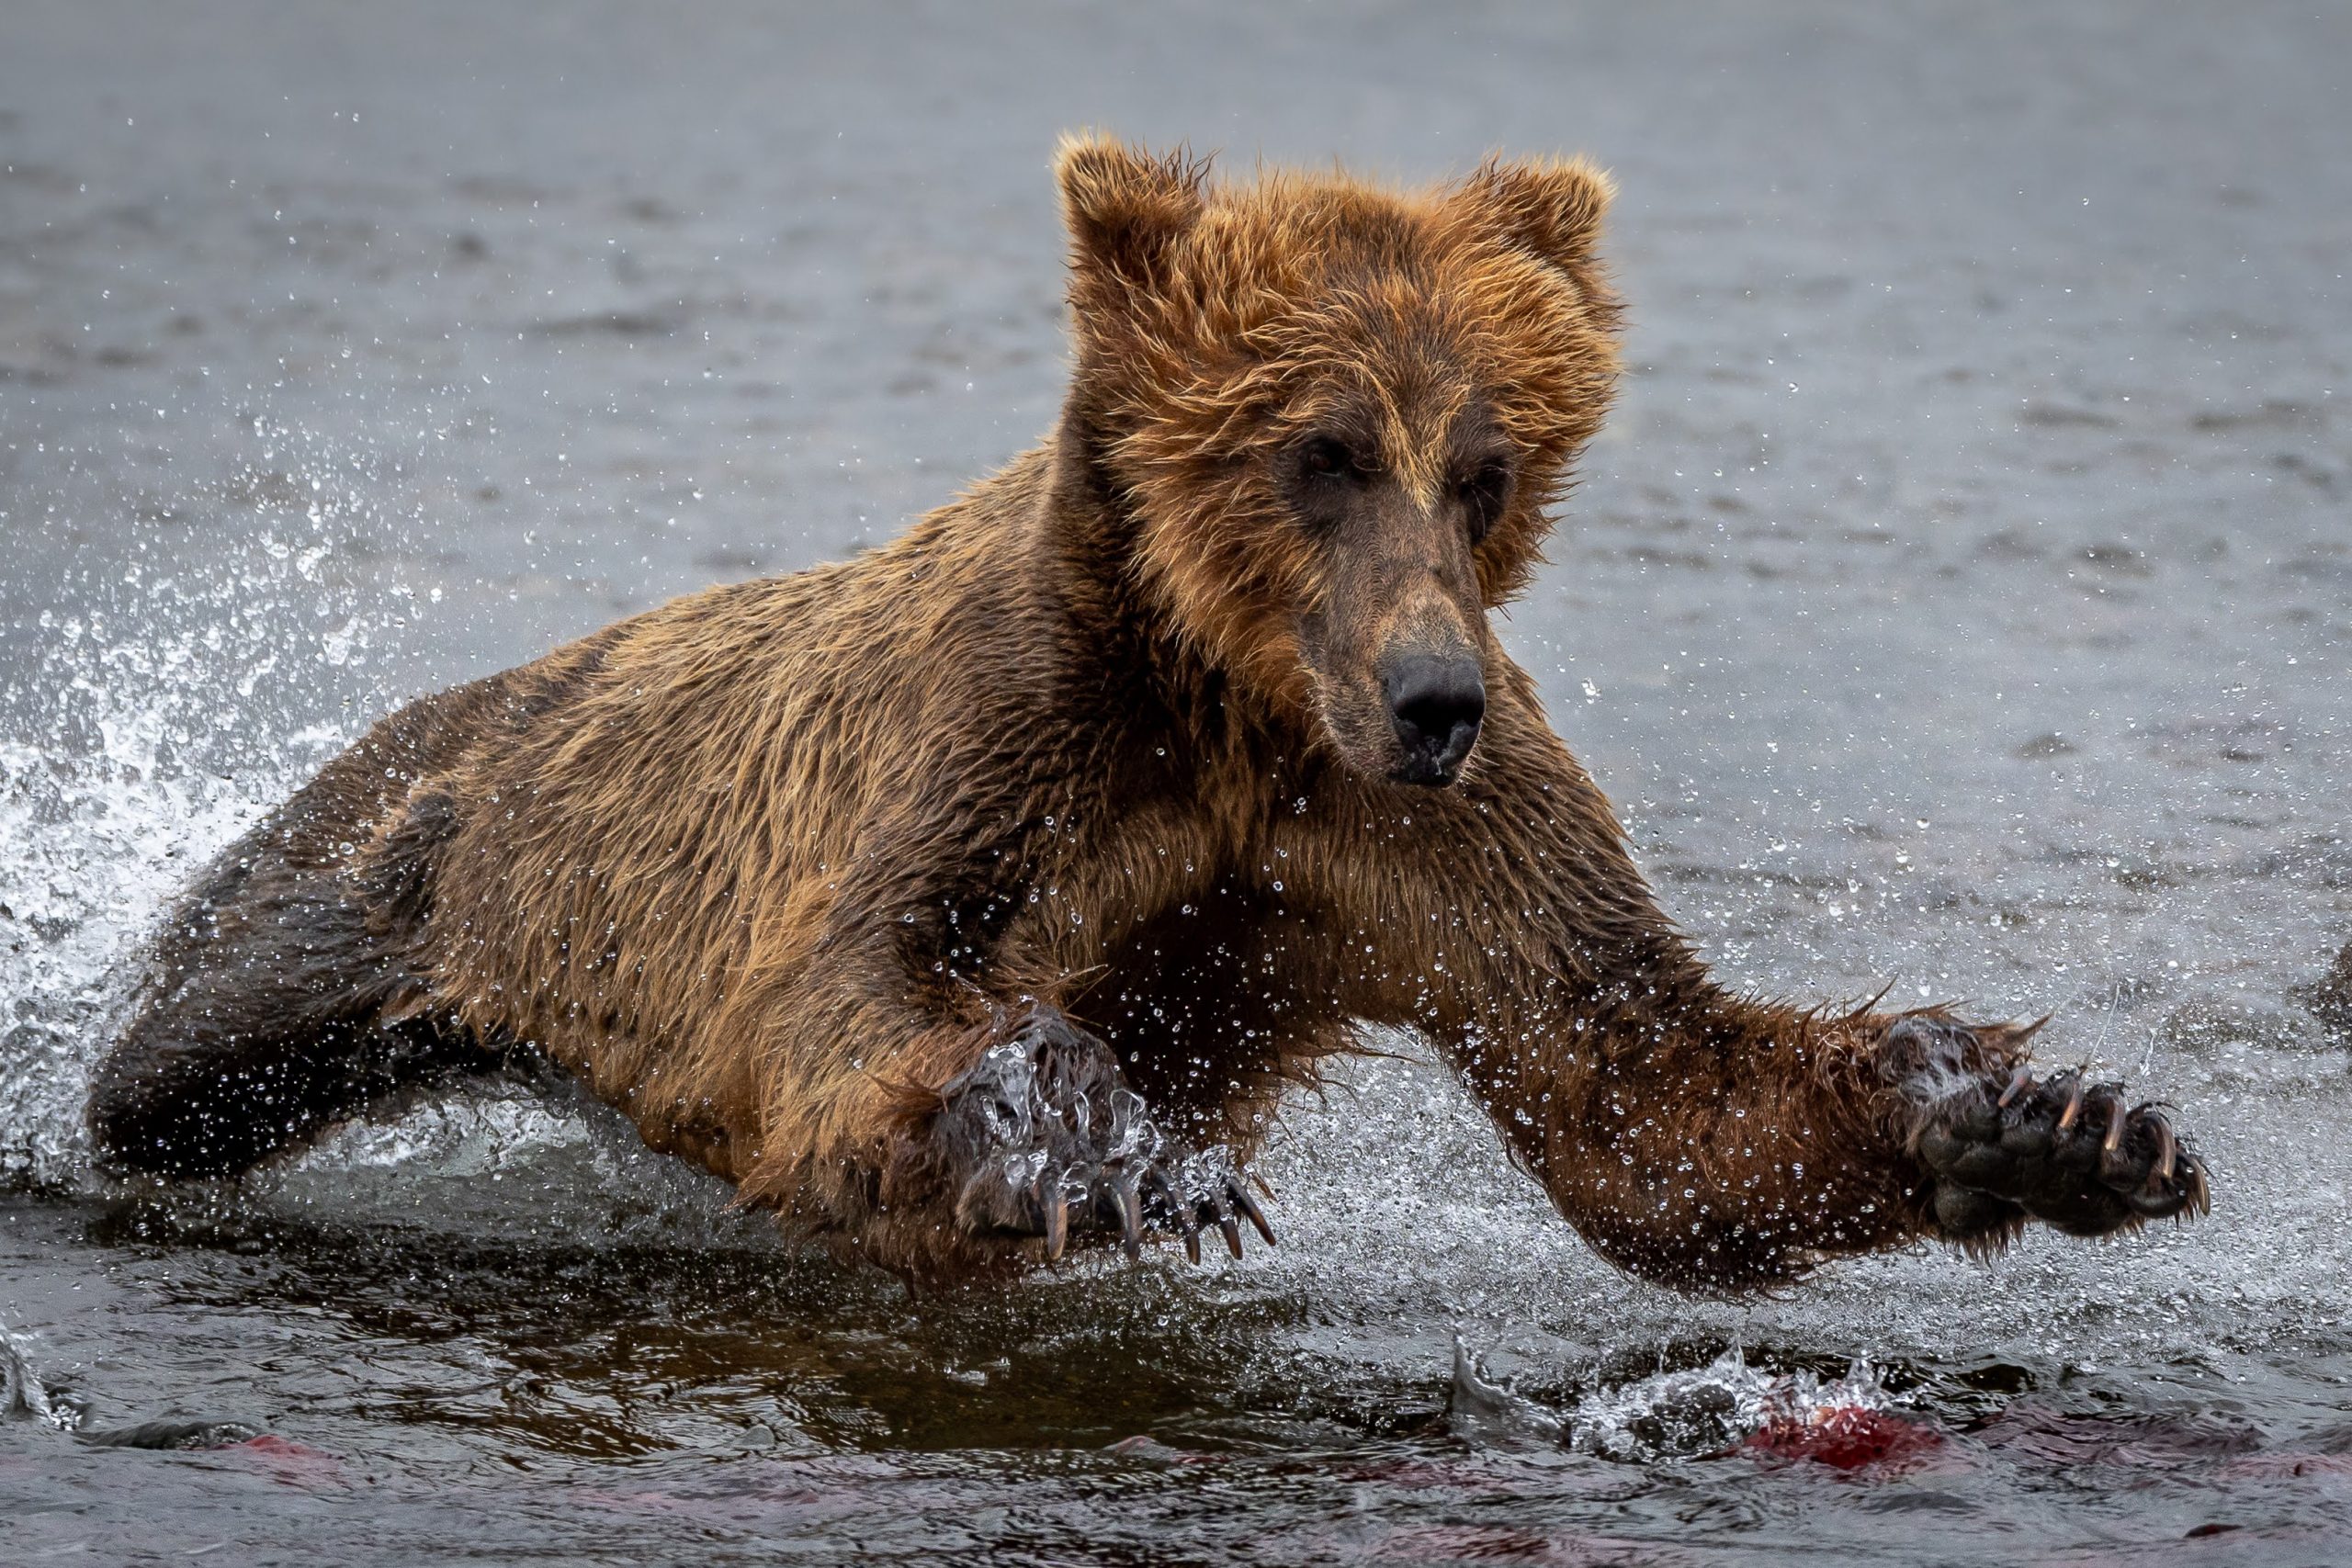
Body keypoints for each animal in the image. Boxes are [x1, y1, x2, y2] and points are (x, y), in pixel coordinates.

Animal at [88, 136, 2208, 1292]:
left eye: (1486, 465)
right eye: (1319, 450)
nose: (1432, 694)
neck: (1242, 705)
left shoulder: (1408, 829)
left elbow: (1642, 1085)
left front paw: (2054, 1119)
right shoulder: (1013, 742)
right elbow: (863, 1001)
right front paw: (1132, 1153)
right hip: (397, 859)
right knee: (176, 1046)